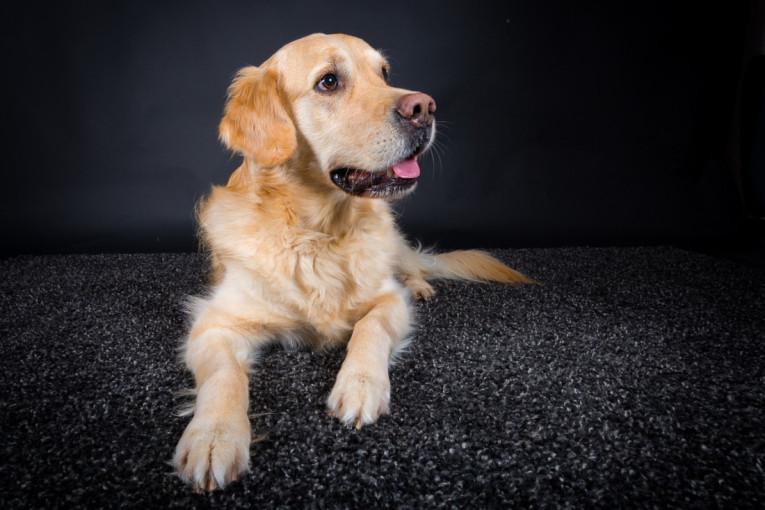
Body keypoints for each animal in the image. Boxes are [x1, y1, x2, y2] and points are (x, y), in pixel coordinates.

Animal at [173, 31, 532, 490]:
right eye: (329, 81)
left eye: (384, 74)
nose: (425, 108)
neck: (319, 235)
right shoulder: (215, 323)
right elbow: (225, 375)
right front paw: (214, 436)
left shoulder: (388, 300)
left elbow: (370, 326)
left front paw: (361, 385)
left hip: (394, 243)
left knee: (410, 266)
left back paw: (420, 285)